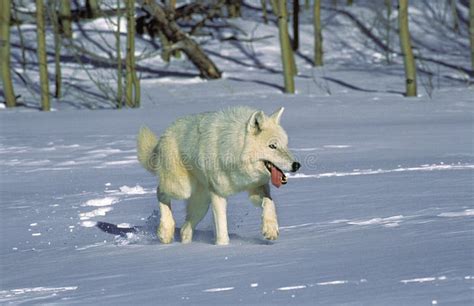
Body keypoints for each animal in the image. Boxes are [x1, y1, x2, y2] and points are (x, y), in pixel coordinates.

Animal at [137, 106, 300, 245]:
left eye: (285, 145)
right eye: (272, 146)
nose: (296, 165)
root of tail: (164, 136)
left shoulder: (256, 187)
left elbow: (269, 203)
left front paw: (270, 230)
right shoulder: (218, 194)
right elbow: (222, 229)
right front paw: (222, 247)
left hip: (201, 204)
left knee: (184, 229)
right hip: (182, 189)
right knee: (160, 191)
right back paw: (165, 232)